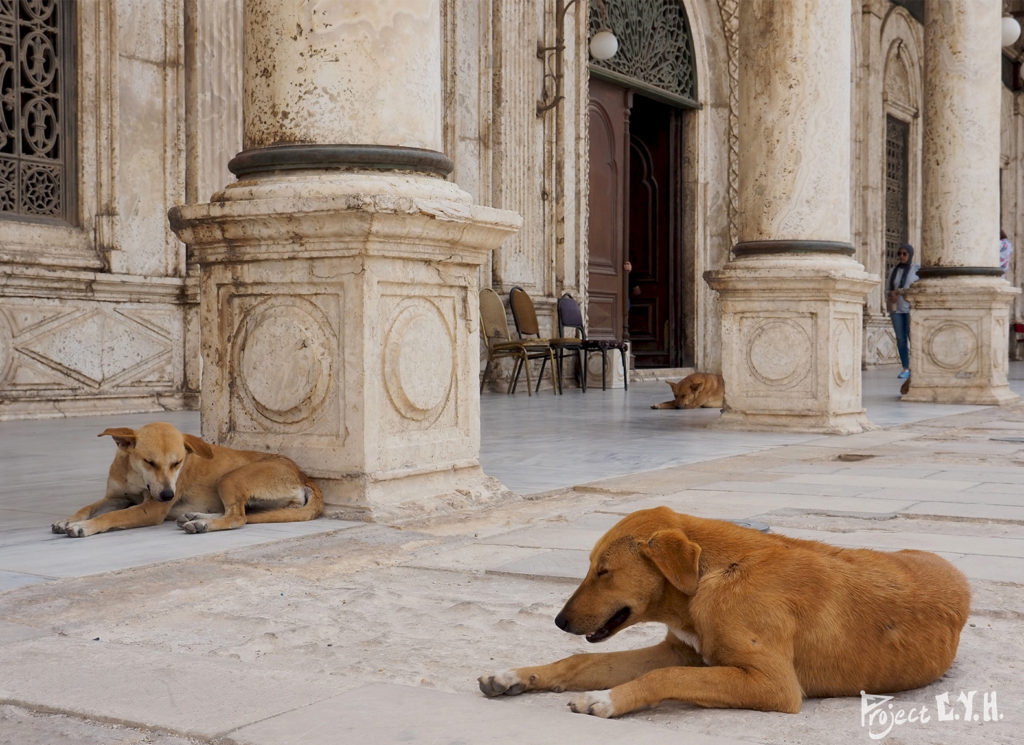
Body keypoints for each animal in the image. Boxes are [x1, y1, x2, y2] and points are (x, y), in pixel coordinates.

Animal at [51, 421, 321, 540]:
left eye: (177, 463)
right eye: (149, 461)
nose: (168, 496)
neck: (136, 476)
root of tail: (303, 475)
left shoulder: (151, 509)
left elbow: (112, 516)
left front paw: (84, 527)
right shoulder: (115, 497)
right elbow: (89, 507)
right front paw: (68, 520)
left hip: (229, 478)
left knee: (238, 517)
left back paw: (203, 524)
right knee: (241, 512)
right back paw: (196, 517)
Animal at [477, 505, 966, 716]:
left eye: (603, 571)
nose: (559, 621)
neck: (710, 579)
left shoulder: (774, 685)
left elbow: (664, 677)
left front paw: (609, 698)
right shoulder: (679, 650)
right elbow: (580, 660)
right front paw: (515, 676)